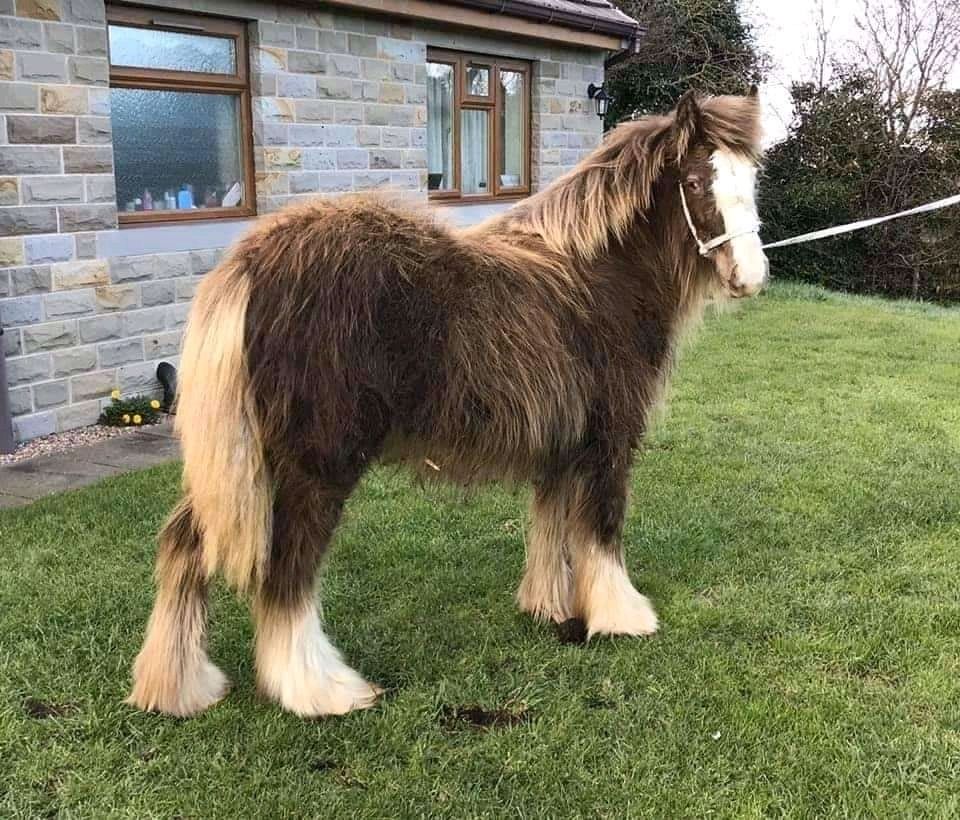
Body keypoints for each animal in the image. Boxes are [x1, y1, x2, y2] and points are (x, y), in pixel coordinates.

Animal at [127, 91, 768, 716]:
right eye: (695, 181)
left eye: (750, 178)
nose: (752, 276)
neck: (600, 275)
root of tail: (248, 264)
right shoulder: (610, 437)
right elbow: (602, 526)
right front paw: (623, 616)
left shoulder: (563, 445)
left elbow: (554, 525)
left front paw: (552, 607)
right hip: (316, 464)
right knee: (286, 569)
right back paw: (321, 690)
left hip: (239, 462)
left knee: (185, 545)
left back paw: (179, 687)